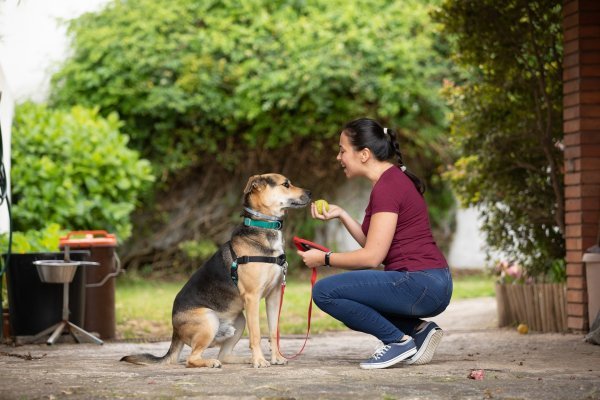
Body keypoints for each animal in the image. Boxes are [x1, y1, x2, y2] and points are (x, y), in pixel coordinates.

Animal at [120, 173, 312, 368]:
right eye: (286, 184)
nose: (310, 193)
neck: (263, 226)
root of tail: (175, 331)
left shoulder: (274, 295)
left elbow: (273, 331)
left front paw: (276, 358)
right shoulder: (252, 298)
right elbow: (256, 334)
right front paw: (259, 360)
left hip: (239, 320)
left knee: (224, 355)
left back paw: (243, 359)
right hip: (209, 319)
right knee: (192, 359)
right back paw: (212, 362)